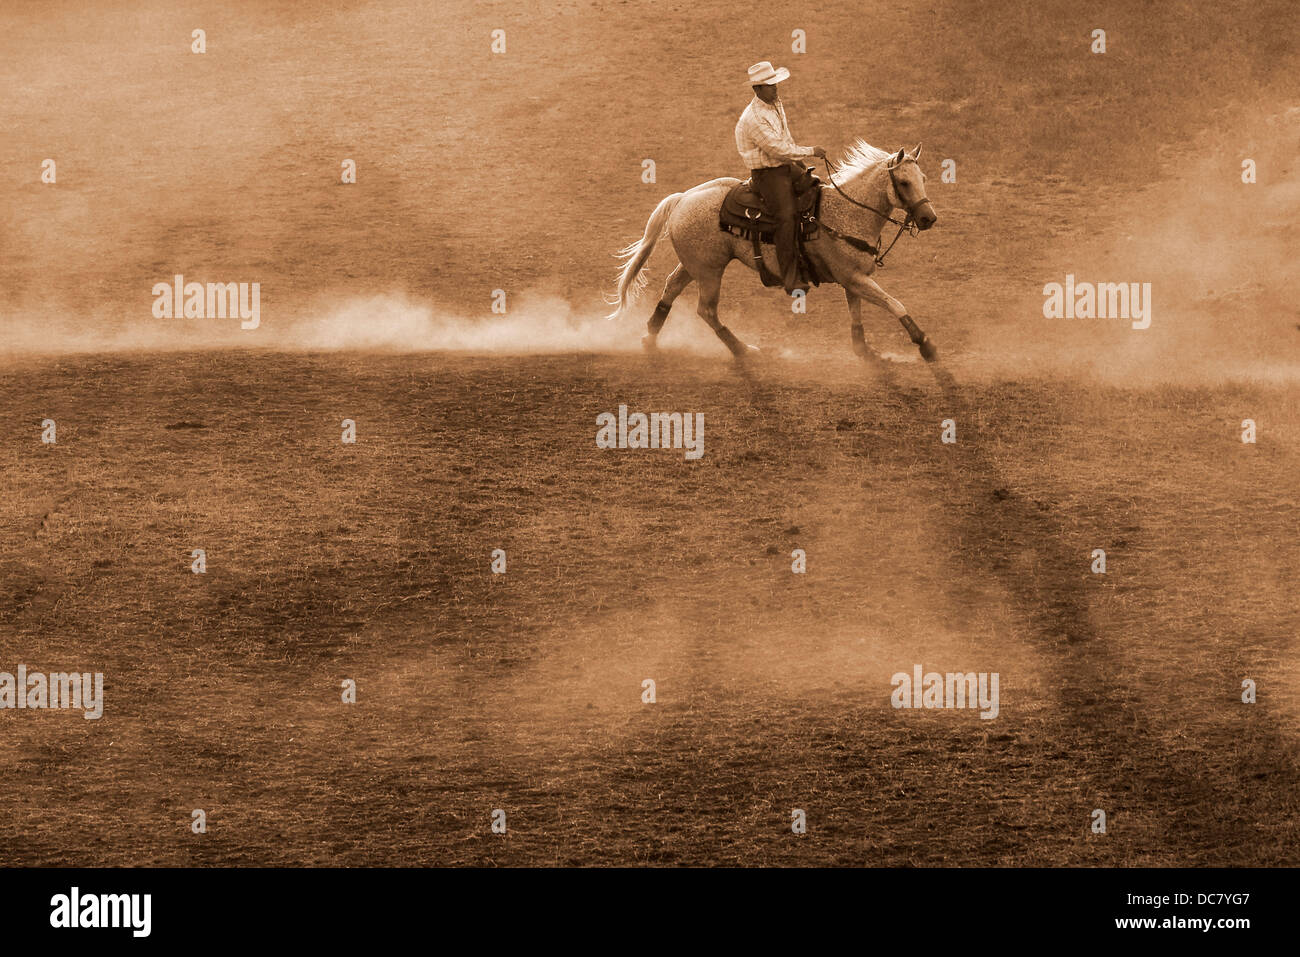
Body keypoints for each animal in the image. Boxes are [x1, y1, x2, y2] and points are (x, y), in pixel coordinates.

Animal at [603, 141, 941, 361]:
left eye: (923, 179)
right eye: (904, 182)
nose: (929, 218)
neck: (848, 212)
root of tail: (683, 197)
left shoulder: (854, 278)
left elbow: (856, 312)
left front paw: (865, 350)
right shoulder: (854, 277)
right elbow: (895, 303)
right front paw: (925, 344)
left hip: (695, 264)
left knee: (671, 288)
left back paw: (650, 337)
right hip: (710, 271)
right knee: (707, 310)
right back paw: (742, 350)